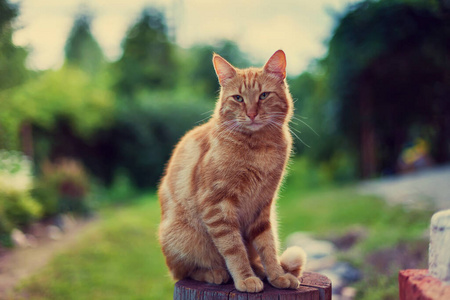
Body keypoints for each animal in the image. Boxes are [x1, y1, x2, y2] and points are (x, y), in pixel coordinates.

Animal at [157, 49, 306, 292]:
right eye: (238, 98)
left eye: (263, 96)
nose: (252, 114)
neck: (259, 148)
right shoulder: (217, 205)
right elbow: (234, 249)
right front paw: (245, 278)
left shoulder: (262, 206)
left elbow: (268, 246)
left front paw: (276, 275)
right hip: (180, 238)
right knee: (185, 271)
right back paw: (216, 273)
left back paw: (260, 270)